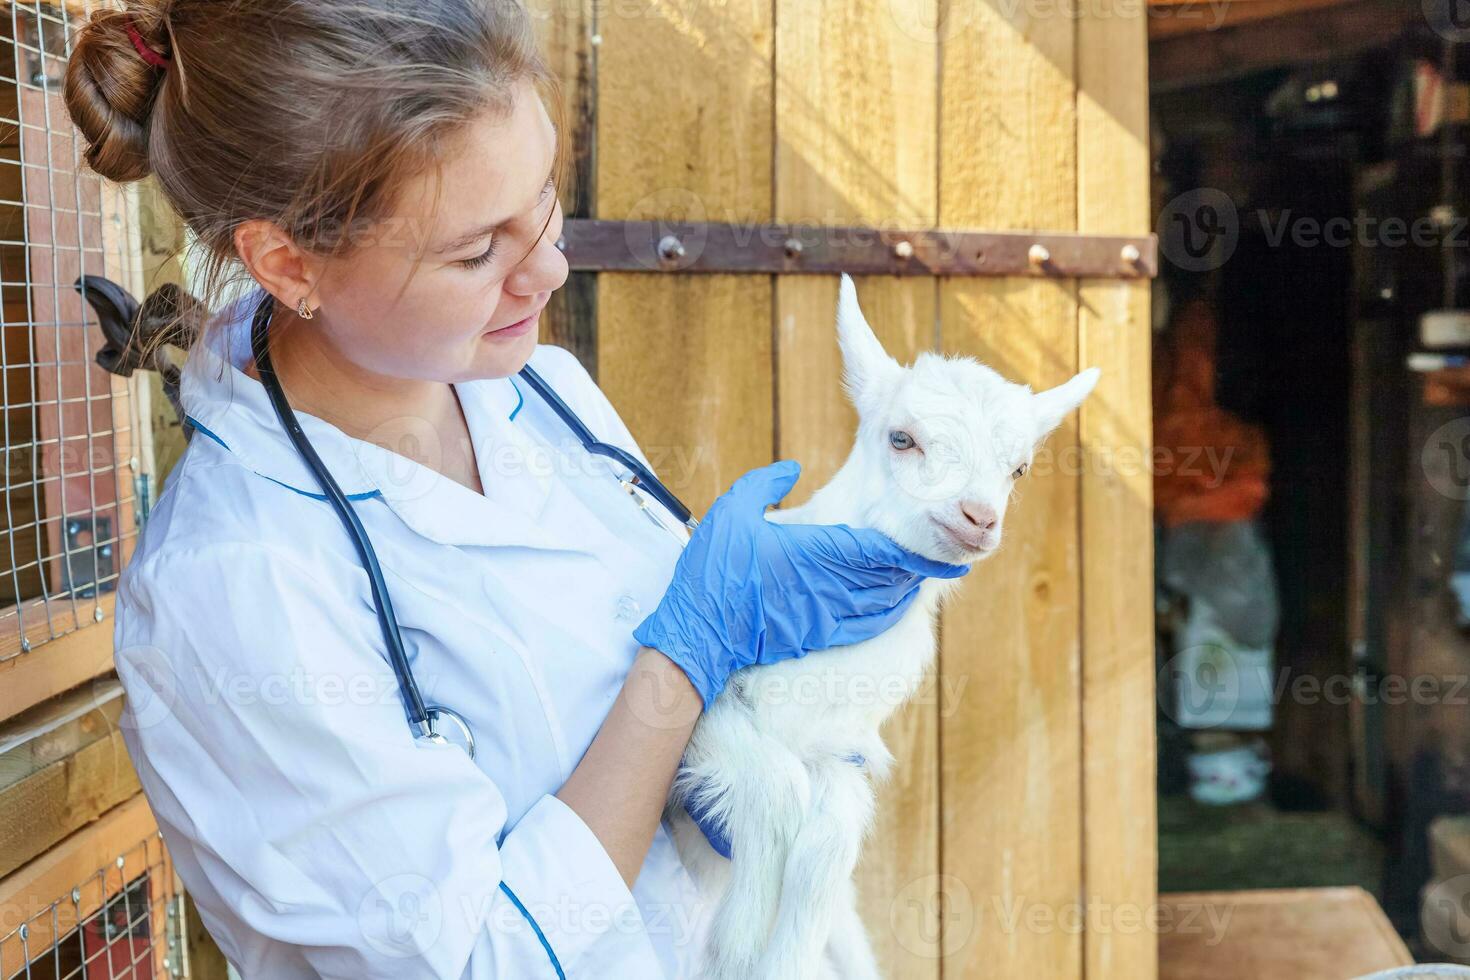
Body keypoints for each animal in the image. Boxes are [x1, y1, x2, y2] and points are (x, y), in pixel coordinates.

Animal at [664, 274, 1093, 980]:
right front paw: (741, 943)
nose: (978, 518)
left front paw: (776, 957)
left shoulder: (837, 752)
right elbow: (775, 790)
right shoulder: (704, 705)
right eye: (901, 439)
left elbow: (828, 850)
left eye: (1019, 468)